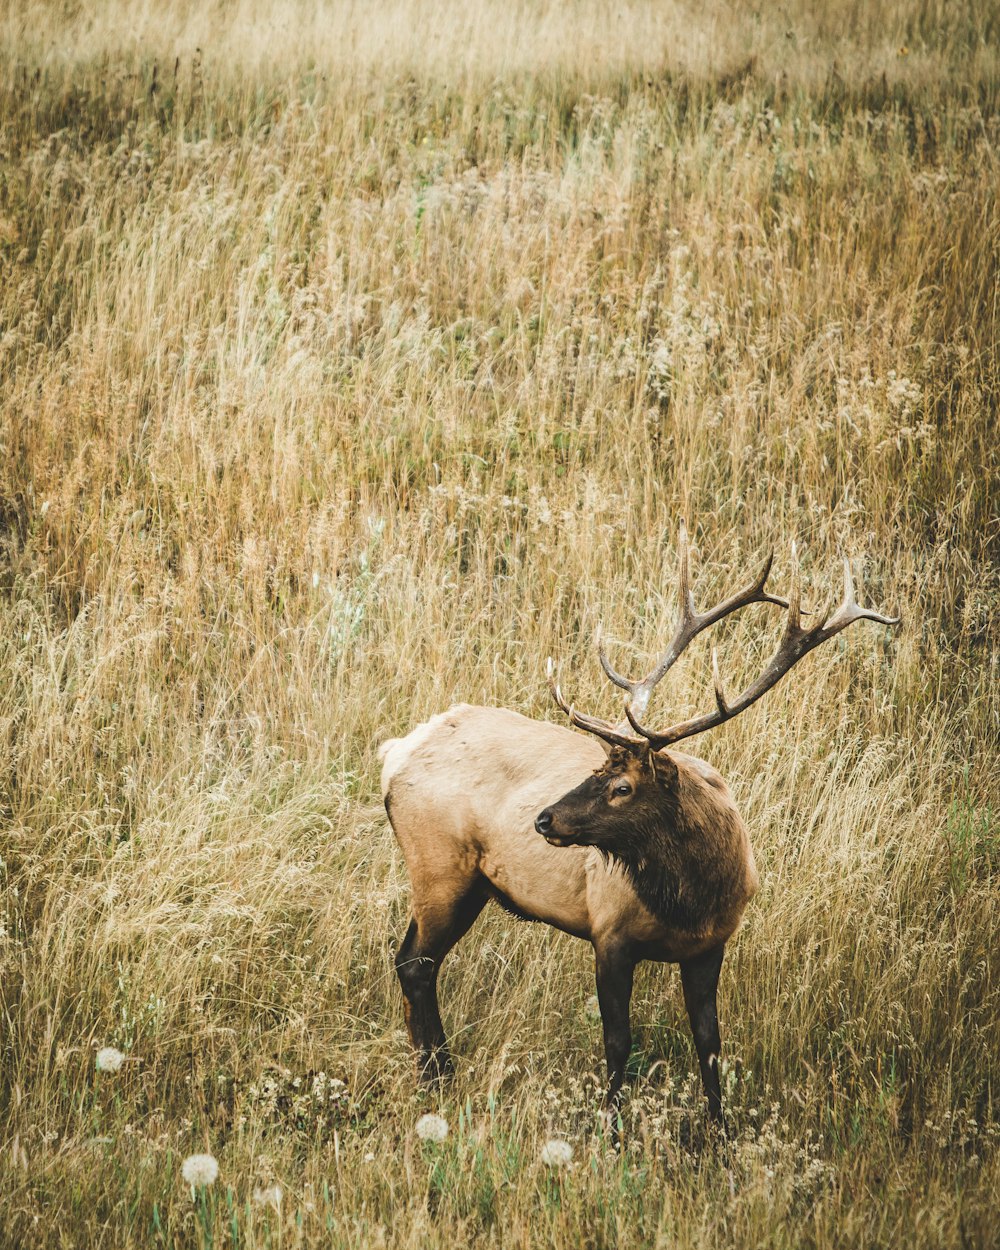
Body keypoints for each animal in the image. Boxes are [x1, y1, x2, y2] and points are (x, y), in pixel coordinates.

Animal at [377, 527, 900, 1125]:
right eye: (598, 771)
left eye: (622, 786)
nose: (544, 818)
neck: (690, 900)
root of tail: (394, 752)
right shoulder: (609, 931)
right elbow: (617, 1041)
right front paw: (614, 1127)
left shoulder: (712, 944)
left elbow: (709, 1042)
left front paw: (718, 1130)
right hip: (440, 867)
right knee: (414, 963)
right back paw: (436, 1076)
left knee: (417, 962)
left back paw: (434, 1073)